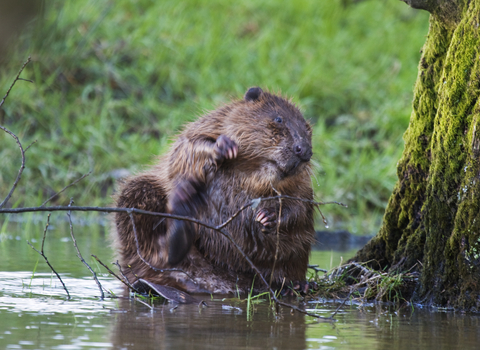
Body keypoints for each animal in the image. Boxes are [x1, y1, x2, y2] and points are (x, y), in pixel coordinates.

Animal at [112, 87, 316, 296]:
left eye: (308, 128)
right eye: (278, 119)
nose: (304, 150)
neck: (257, 171)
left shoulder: (301, 184)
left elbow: (300, 206)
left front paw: (267, 216)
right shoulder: (211, 124)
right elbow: (186, 147)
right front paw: (224, 146)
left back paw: (298, 285)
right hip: (138, 191)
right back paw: (184, 204)